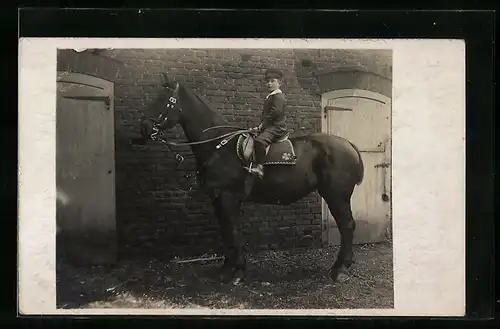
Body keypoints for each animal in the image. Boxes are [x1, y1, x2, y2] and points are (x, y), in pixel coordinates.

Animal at [139, 73, 366, 284]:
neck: (219, 147)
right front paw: (226, 268)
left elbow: (233, 231)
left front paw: (237, 272)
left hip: (336, 196)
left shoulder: (228, 198)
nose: (144, 128)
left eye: (164, 99)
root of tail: (348, 144)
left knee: (347, 226)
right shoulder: (218, 200)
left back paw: (340, 269)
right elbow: (226, 232)